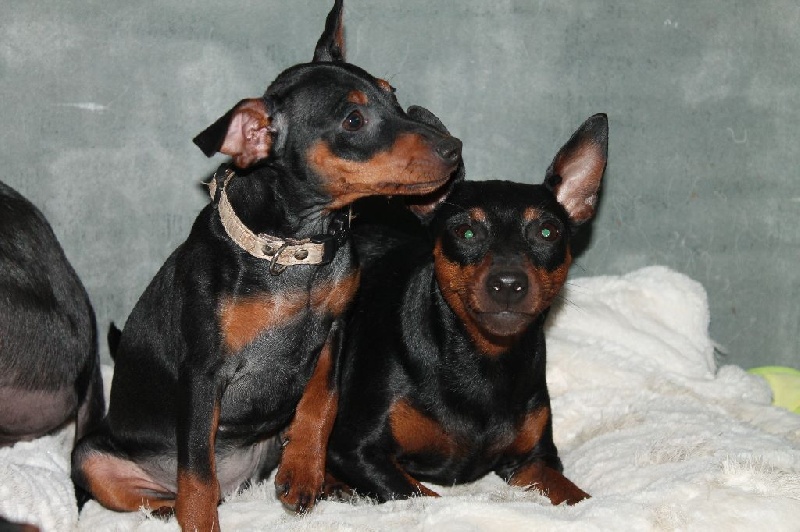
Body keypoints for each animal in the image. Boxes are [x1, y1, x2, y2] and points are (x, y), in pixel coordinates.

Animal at [71, 1, 462, 529]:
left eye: (394, 96)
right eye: (353, 120)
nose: (454, 149)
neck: (293, 251)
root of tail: (239, 481)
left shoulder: (335, 330)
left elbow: (321, 402)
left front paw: (303, 473)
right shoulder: (203, 374)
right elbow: (197, 472)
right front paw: (200, 522)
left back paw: (333, 483)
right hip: (93, 456)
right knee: (164, 491)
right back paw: (175, 506)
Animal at [324, 114, 608, 506]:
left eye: (548, 232)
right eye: (465, 232)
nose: (508, 284)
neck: (483, 359)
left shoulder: (534, 462)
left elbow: (574, 495)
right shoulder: (355, 451)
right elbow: (425, 498)